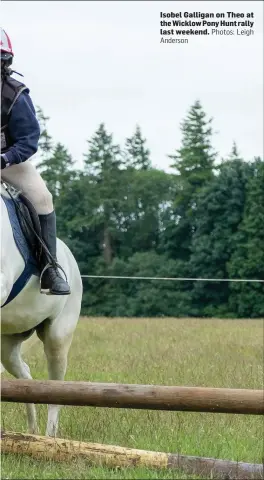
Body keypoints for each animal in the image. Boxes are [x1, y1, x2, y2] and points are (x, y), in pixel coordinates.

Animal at [0, 185, 82, 438]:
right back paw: (31, 432)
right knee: (26, 378)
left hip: (57, 337)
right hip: (9, 341)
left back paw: (48, 438)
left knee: (55, 391)